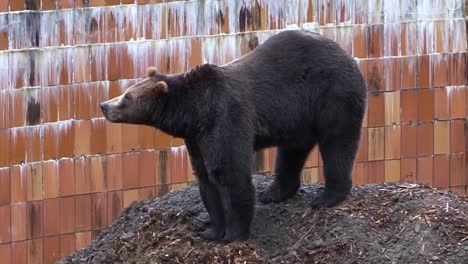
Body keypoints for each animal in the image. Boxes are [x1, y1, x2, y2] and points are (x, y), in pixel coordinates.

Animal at [100, 29, 368, 242]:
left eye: (127, 97)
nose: (104, 105)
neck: (195, 112)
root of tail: (348, 55)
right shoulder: (197, 138)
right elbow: (206, 180)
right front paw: (211, 230)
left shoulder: (226, 117)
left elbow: (229, 173)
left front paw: (234, 233)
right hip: (298, 116)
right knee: (292, 151)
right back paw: (275, 192)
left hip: (332, 94)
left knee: (337, 143)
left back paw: (328, 196)